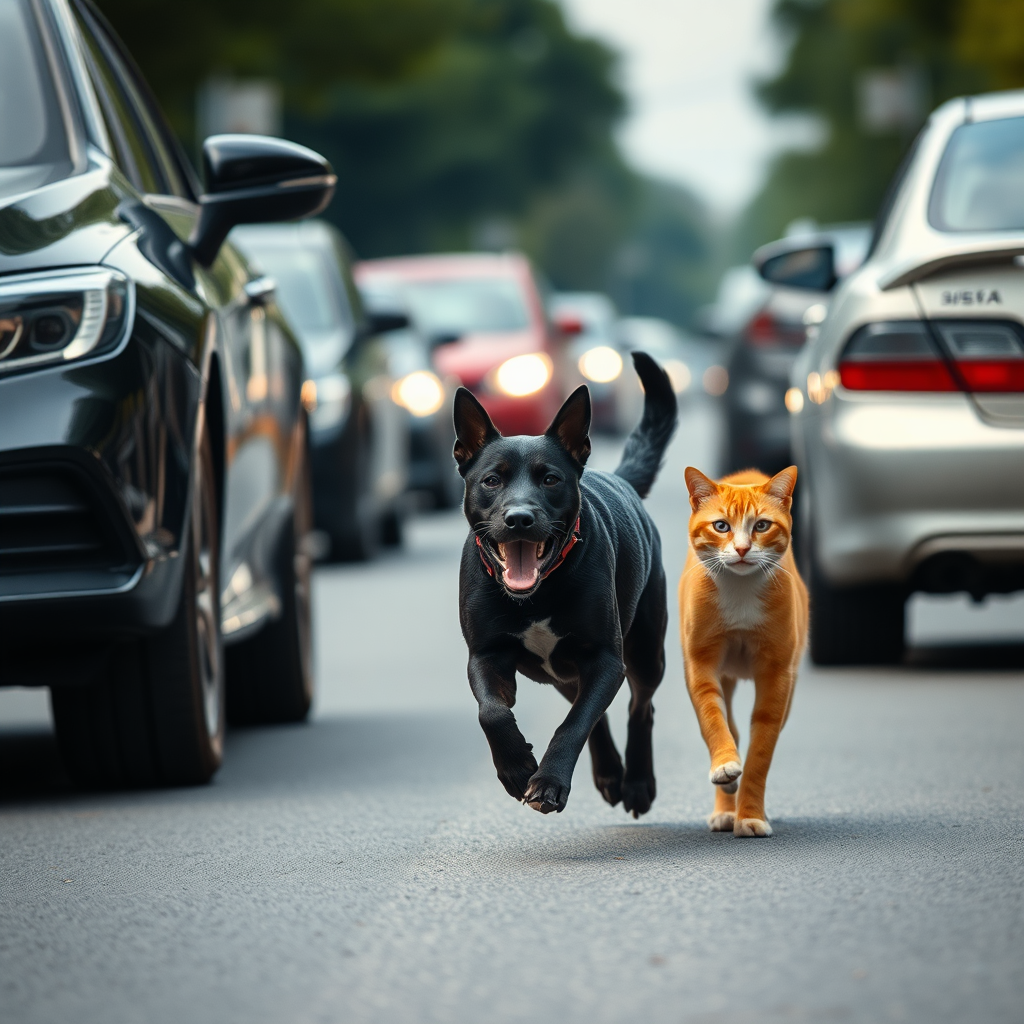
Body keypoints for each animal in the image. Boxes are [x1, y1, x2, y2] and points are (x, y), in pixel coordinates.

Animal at [456, 352, 679, 815]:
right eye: (492, 480)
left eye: (550, 479)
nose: (519, 519)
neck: (536, 596)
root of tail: (621, 479)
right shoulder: (485, 656)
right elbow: (492, 712)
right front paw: (517, 768)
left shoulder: (607, 659)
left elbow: (574, 724)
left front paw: (547, 782)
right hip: (561, 674)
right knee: (592, 709)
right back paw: (610, 773)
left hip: (646, 651)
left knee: (637, 707)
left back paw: (636, 782)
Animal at [679, 468, 806, 835]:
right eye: (721, 526)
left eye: (761, 525)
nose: (741, 548)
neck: (740, 592)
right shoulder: (701, 665)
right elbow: (714, 720)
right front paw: (725, 767)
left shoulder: (777, 676)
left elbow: (760, 751)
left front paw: (750, 815)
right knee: (731, 728)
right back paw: (725, 804)